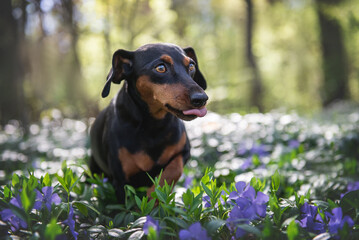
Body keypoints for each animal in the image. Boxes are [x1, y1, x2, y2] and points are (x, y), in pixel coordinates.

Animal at [89, 43, 208, 202]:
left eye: (191, 66)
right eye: (160, 67)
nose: (201, 99)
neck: (153, 126)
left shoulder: (184, 152)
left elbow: (173, 170)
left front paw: (154, 195)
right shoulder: (120, 180)